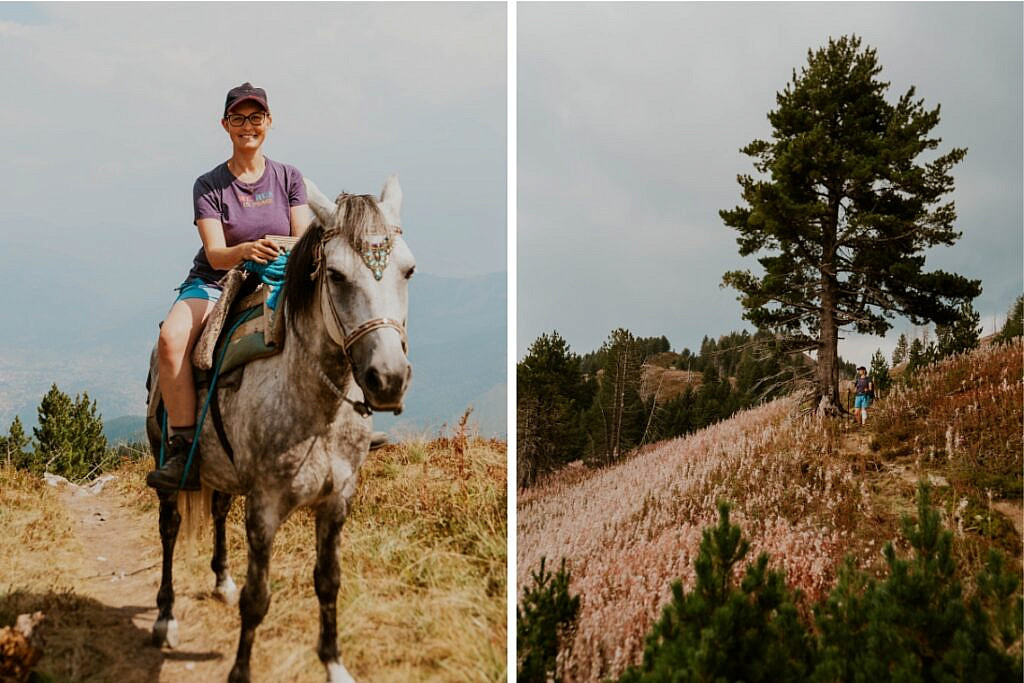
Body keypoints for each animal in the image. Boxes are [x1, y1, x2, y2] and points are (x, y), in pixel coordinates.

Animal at [148, 178, 411, 683]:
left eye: (408, 271)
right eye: (336, 276)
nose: (387, 379)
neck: (318, 410)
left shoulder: (336, 502)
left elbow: (328, 582)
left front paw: (333, 663)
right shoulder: (265, 507)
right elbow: (257, 599)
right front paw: (240, 671)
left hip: (224, 471)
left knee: (218, 508)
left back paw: (222, 580)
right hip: (165, 460)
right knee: (169, 528)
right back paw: (165, 618)